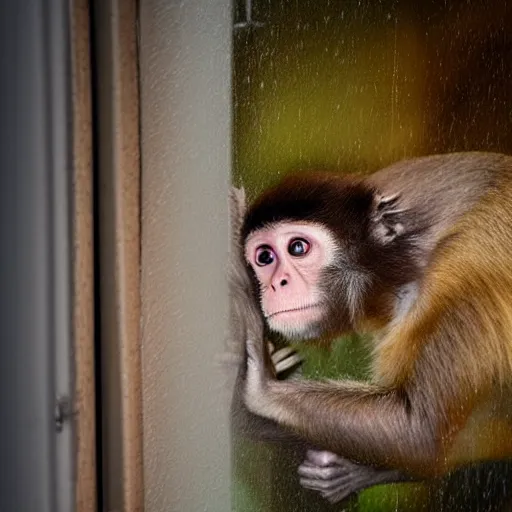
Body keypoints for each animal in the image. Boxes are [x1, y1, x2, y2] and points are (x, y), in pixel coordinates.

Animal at [238, 152, 512, 504]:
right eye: (264, 257)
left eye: (298, 248)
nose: (276, 284)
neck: (407, 255)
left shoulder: (465, 274)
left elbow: (419, 435)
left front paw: (262, 377)